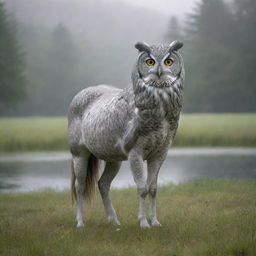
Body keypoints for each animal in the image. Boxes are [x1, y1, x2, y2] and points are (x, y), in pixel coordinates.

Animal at [68, 41, 184, 229]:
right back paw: (80, 222)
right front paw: (143, 223)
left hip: (113, 159)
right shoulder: (135, 153)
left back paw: (114, 221)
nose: (159, 72)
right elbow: (142, 188)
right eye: (150, 62)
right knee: (80, 186)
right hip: (79, 154)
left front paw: (155, 222)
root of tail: (79, 95)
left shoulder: (160, 154)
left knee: (103, 184)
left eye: (169, 61)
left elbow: (153, 189)